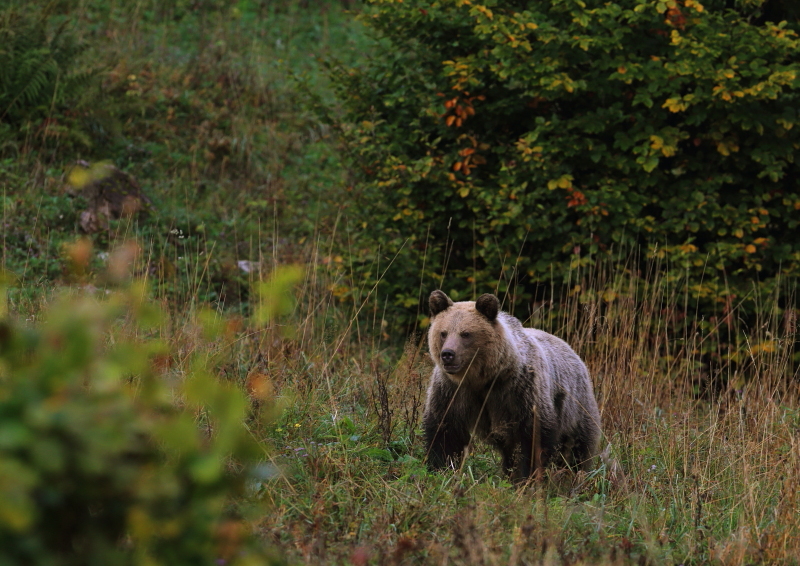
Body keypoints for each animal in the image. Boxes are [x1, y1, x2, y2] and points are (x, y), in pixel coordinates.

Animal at [424, 292, 600, 484]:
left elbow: (532, 436)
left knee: (577, 446)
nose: (448, 354)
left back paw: (575, 474)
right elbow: (445, 430)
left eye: (466, 334)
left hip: (575, 406)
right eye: (443, 333)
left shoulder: (519, 390)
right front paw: (441, 469)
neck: (482, 379)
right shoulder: (452, 390)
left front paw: (526, 477)